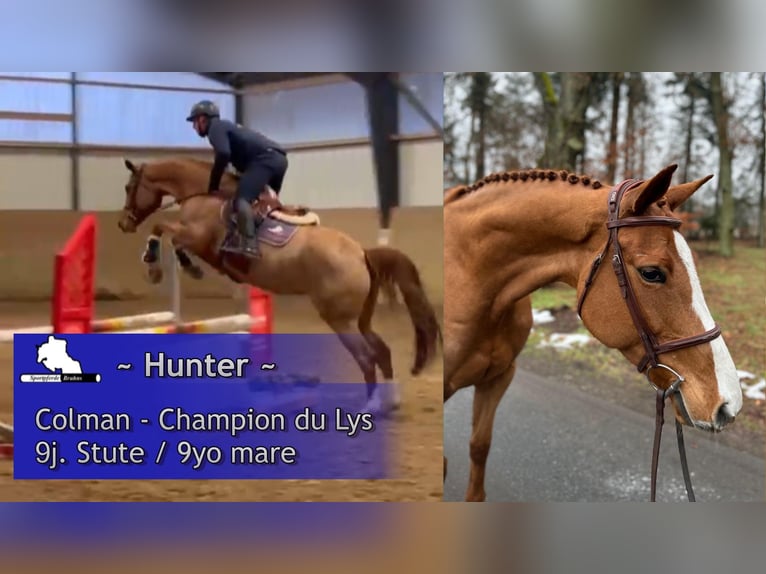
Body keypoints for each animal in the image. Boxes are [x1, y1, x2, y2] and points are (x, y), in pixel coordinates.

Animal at [117, 157, 441, 416]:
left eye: (129, 187)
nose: (123, 224)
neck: (205, 195)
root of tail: (362, 253)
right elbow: (169, 233)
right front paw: (178, 265)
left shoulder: (197, 237)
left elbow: (164, 230)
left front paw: (159, 264)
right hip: (360, 318)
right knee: (382, 350)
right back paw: (391, 401)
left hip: (339, 319)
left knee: (366, 356)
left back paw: (371, 406)